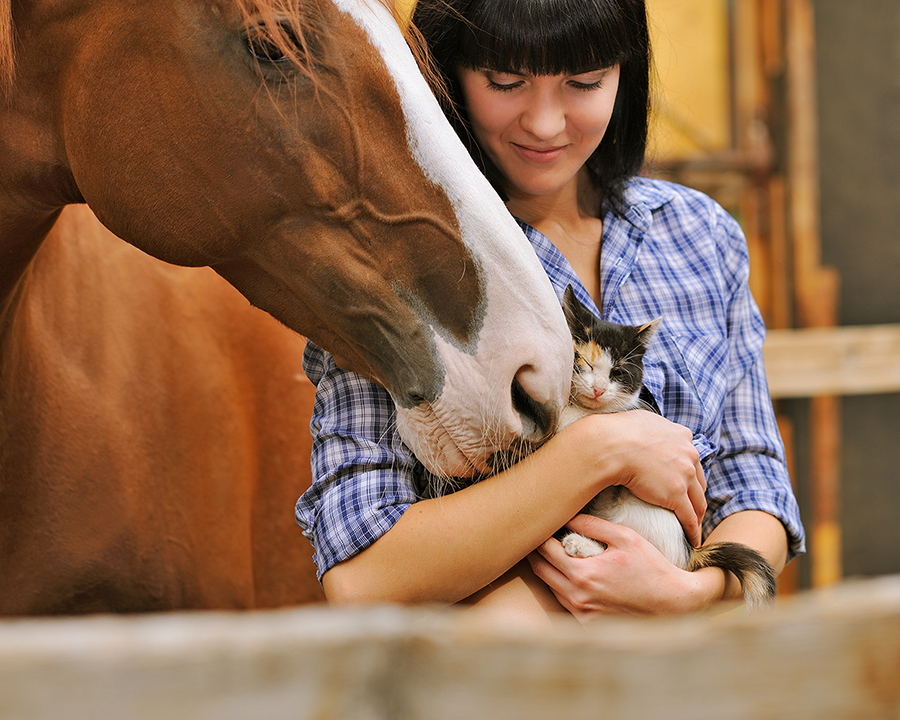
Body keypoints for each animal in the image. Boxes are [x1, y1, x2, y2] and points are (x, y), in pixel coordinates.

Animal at [556, 284, 772, 612]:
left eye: (618, 373)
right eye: (584, 362)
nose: (598, 389)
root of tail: (690, 553)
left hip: (639, 515)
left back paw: (582, 543)